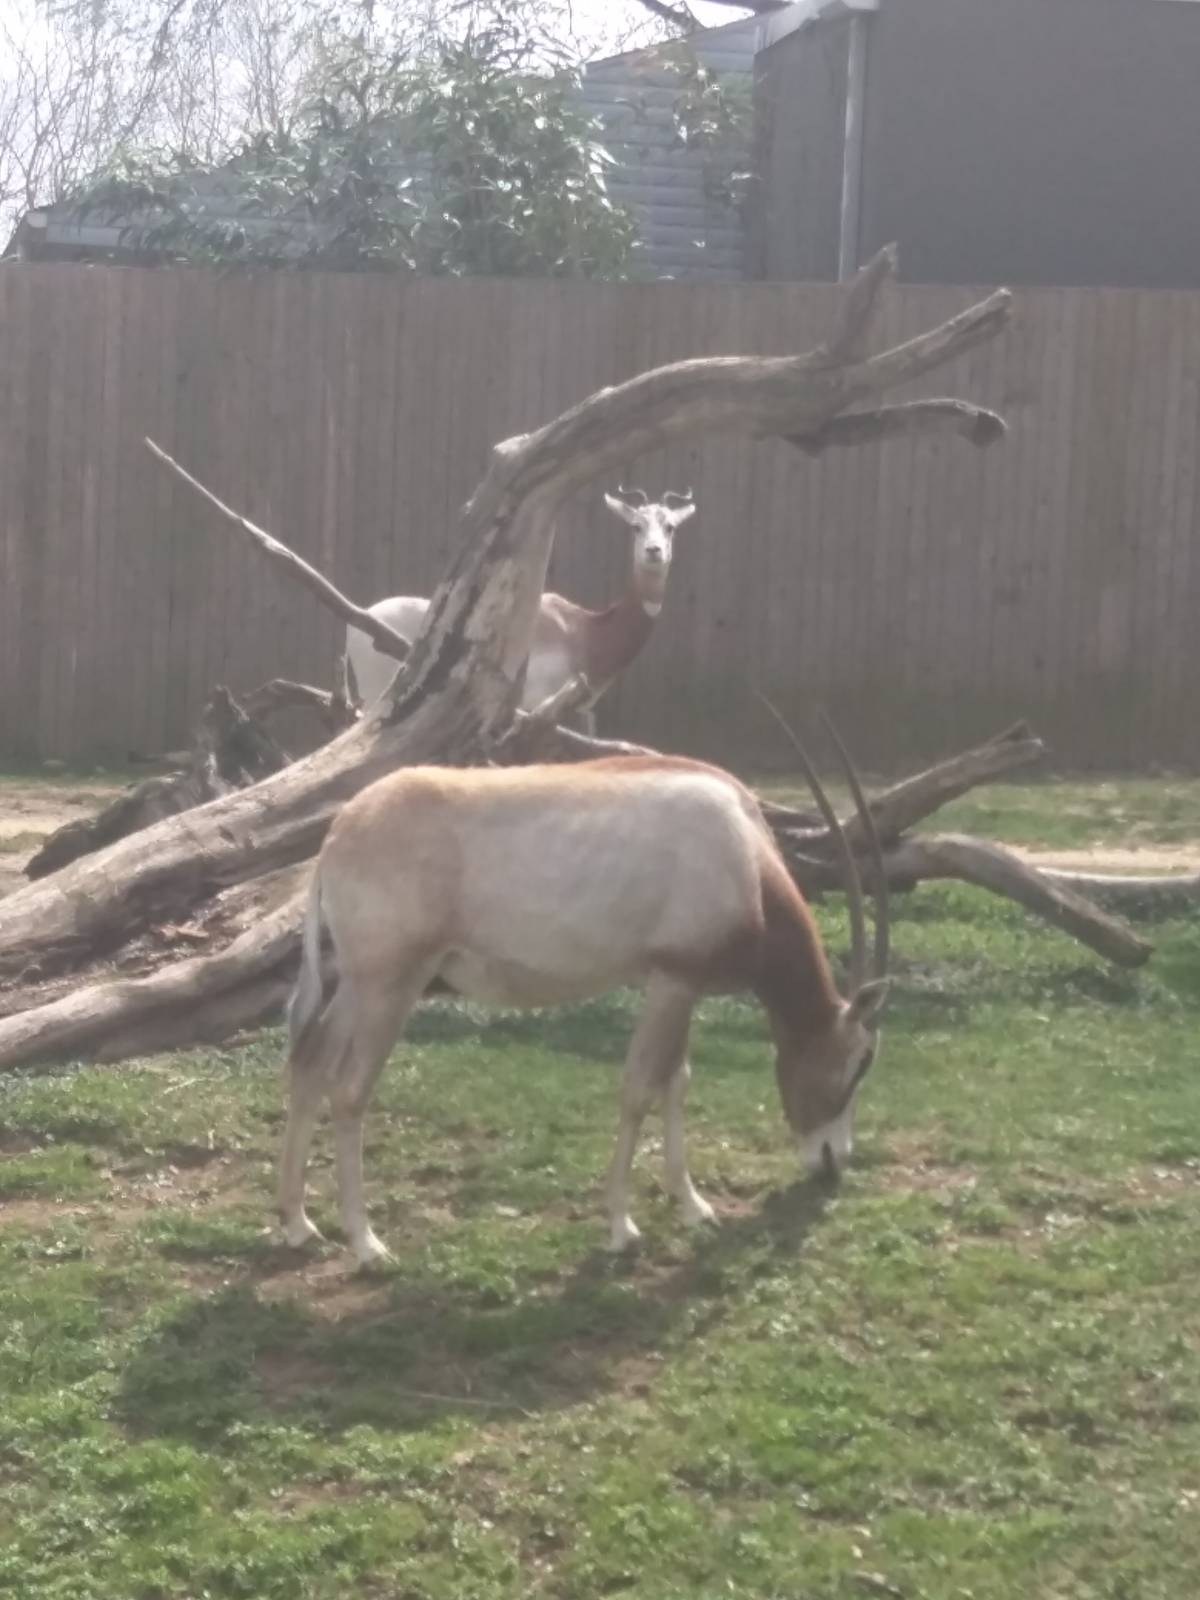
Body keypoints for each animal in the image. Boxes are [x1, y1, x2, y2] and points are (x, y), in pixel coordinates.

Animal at [278, 720, 891, 1266]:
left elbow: (677, 1083)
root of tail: (339, 833)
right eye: (861, 1061)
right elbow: (639, 1091)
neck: (746, 856)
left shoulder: (681, 982)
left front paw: (693, 1206)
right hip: (391, 985)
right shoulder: (672, 980)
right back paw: (366, 1244)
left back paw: (299, 1225)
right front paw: (622, 1228)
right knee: (349, 1090)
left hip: (358, 985)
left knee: (310, 1062)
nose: (832, 1162)